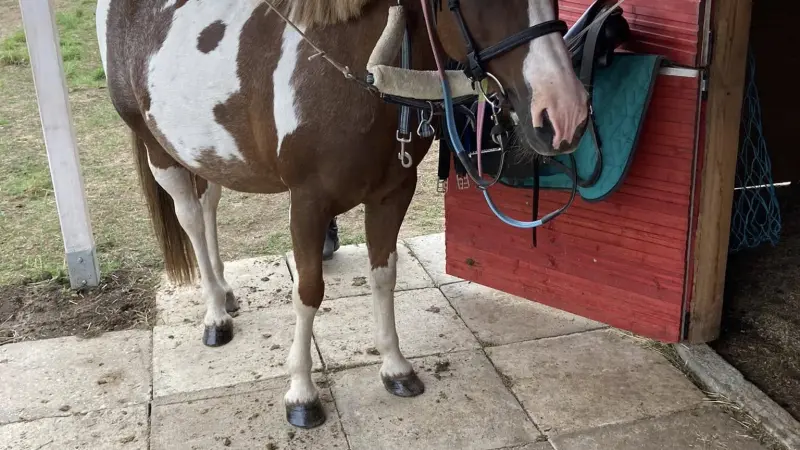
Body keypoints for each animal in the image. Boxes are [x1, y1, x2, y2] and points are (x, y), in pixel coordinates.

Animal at [96, 0, 589, 428]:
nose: (566, 114)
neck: (349, 67)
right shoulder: (307, 204)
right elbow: (308, 291)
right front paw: (301, 393)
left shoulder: (393, 193)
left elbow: (384, 276)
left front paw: (395, 367)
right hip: (158, 149)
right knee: (193, 221)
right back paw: (215, 312)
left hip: (209, 151)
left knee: (209, 204)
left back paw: (224, 290)